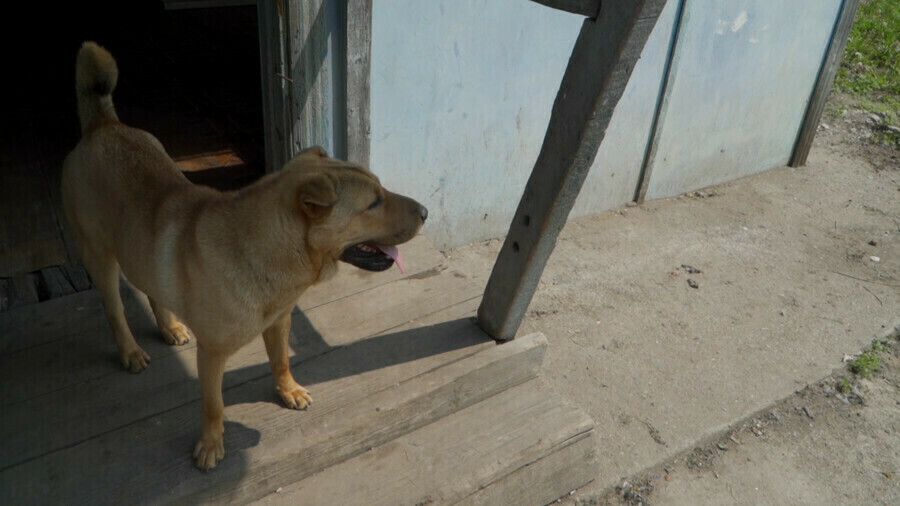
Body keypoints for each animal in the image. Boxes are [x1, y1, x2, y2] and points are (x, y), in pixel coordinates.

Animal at [61, 41, 428, 468]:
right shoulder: (212, 354)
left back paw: (169, 326)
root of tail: (102, 126)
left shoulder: (280, 320)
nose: (426, 212)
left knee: (152, 289)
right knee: (115, 309)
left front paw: (288, 390)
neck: (276, 254)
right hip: (100, 256)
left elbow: (281, 359)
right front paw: (211, 444)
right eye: (374, 203)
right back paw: (130, 350)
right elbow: (214, 405)